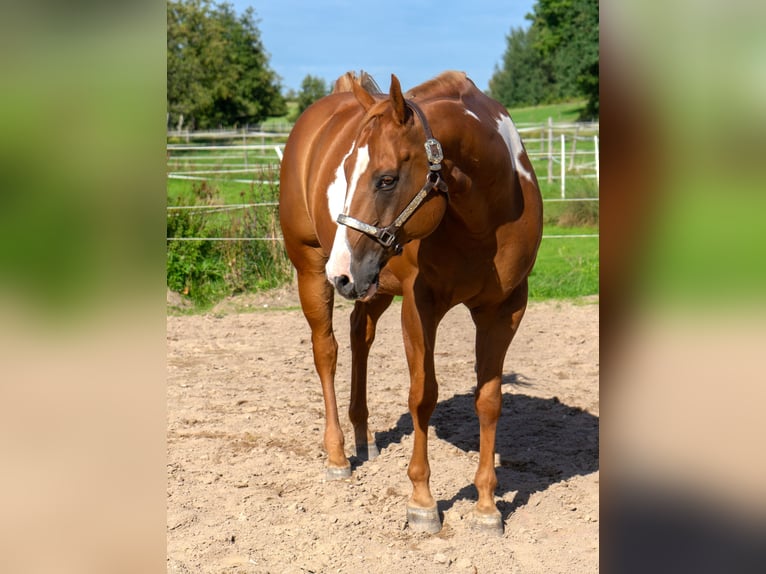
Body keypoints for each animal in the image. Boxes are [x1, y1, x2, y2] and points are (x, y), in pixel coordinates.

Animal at [278, 71, 542, 534]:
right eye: (344, 171)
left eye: (386, 179)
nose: (341, 271)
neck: (483, 217)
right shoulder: (420, 308)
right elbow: (422, 395)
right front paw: (422, 501)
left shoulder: (505, 310)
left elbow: (489, 399)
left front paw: (487, 506)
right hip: (311, 269)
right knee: (326, 351)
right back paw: (338, 456)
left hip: (373, 285)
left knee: (359, 337)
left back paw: (364, 439)